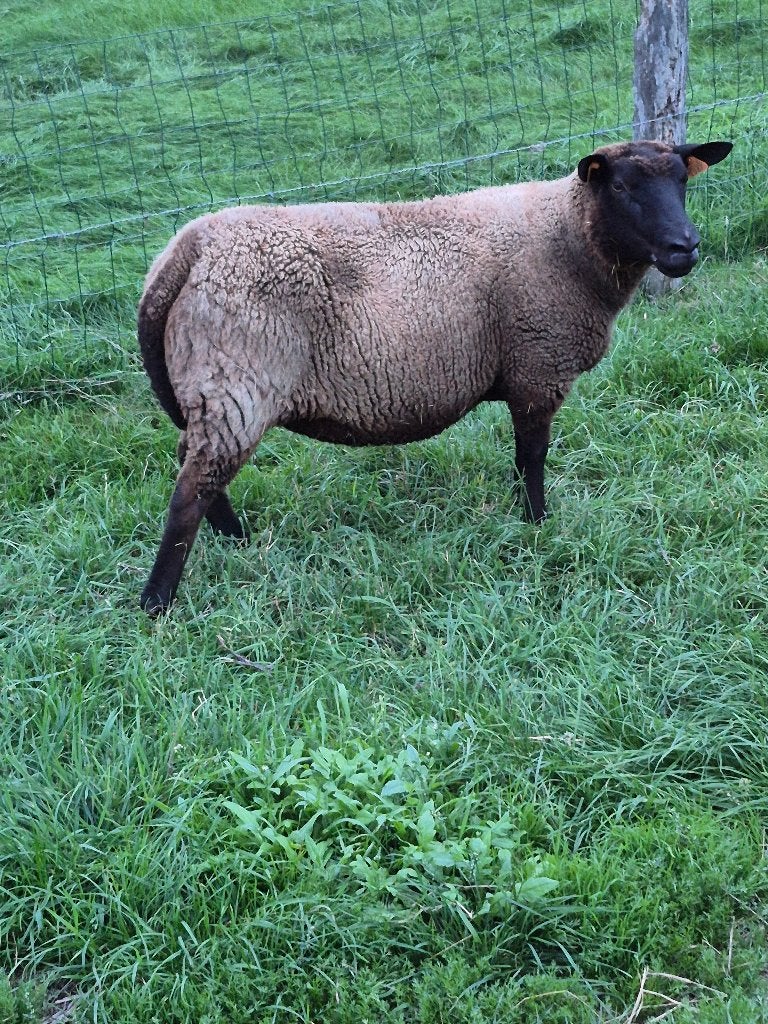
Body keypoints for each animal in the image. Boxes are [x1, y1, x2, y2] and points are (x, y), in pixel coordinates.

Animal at [137, 138, 733, 613]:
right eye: (624, 187)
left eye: (683, 181)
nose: (685, 246)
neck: (567, 235)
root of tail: (186, 251)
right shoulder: (538, 366)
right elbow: (532, 457)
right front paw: (537, 524)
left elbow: (522, 457)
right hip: (236, 382)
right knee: (191, 490)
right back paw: (157, 602)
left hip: (211, 390)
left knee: (198, 470)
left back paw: (239, 542)